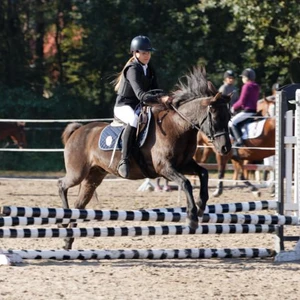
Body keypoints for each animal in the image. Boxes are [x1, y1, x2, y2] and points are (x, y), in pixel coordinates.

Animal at [58, 67, 232, 250]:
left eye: (229, 117)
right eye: (215, 117)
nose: (225, 148)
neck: (178, 126)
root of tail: (78, 131)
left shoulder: (183, 164)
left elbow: (204, 173)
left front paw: (200, 207)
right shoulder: (164, 167)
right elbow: (186, 183)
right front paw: (192, 217)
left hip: (93, 177)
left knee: (79, 206)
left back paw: (68, 240)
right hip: (78, 173)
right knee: (62, 185)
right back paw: (63, 221)